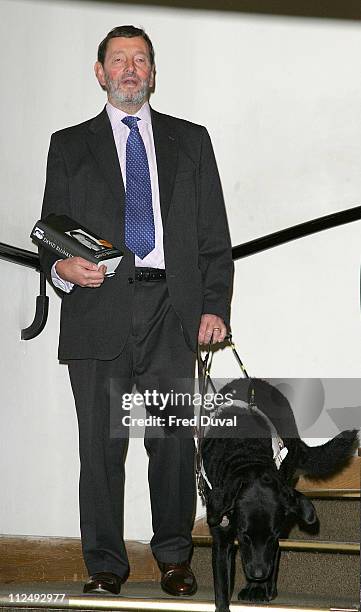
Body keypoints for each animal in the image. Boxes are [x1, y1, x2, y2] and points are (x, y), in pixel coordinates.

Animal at [201, 378, 356, 612]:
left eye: (272, 536)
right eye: (244, 536)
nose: (258, 574)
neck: (246, 456)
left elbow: (274, 553)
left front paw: (261, 588)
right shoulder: (221, 530)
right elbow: (221, 584)